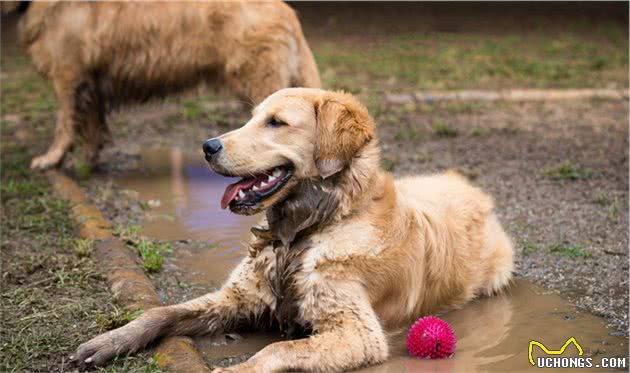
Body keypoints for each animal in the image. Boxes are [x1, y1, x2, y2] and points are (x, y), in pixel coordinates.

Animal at [19, 0, 320, 169]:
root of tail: (288, 12)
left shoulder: (68, 75)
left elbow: (64, 122)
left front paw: (52, 159)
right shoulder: (90, 80)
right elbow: (93, 125)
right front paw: (88, 162)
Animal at [76, 88, 516, 370]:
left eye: (276, 122)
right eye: (252, 117)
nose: (208, 146)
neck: (306, 231)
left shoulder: (358, 332)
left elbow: (276, 351)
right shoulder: (235, 298)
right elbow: (160, 312)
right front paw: (109, 342)